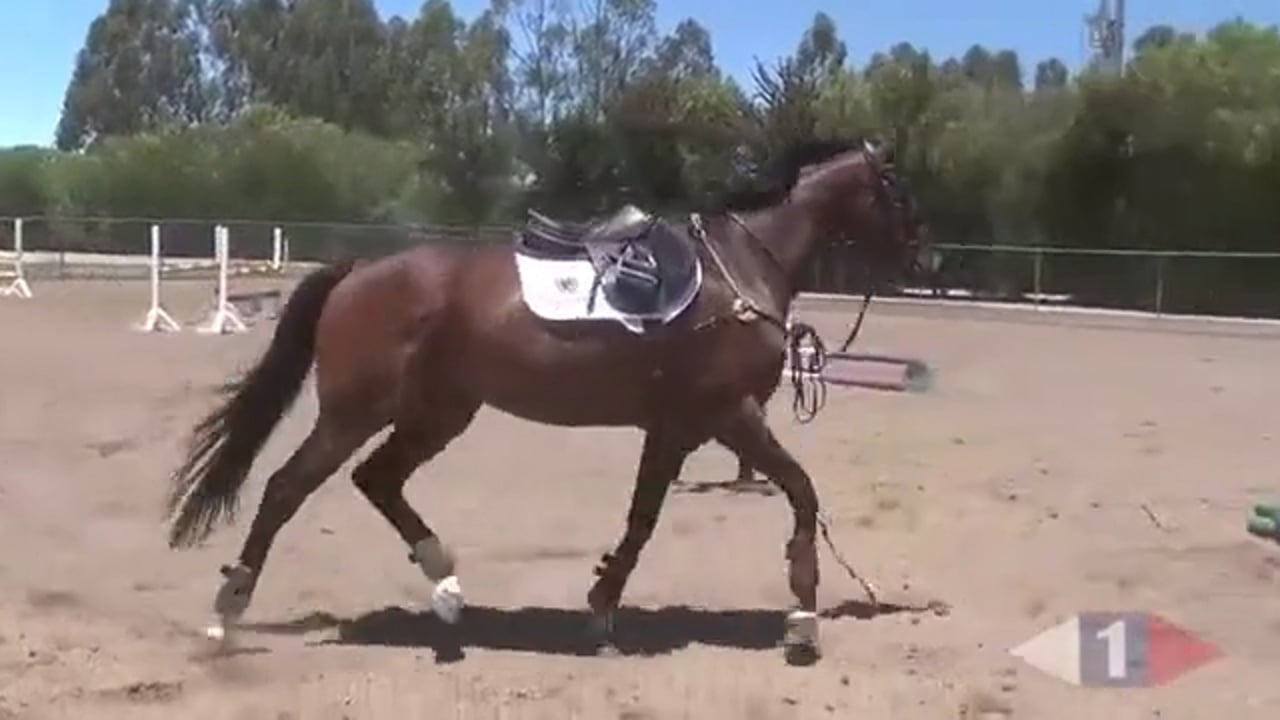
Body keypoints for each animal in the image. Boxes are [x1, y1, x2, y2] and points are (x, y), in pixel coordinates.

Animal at [163, 135, 923, 666]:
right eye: (892, 187)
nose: (919, 259)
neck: (739, 273)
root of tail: (359, 272)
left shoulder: (675, 428)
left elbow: (642, 521)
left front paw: (601, 614)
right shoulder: (730, 416)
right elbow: (802, 491)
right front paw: (803, 620)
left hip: (439, 412)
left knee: (376, 479)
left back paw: (446, 590)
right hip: (357, 412)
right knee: (286, 488)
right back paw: (229, 613)